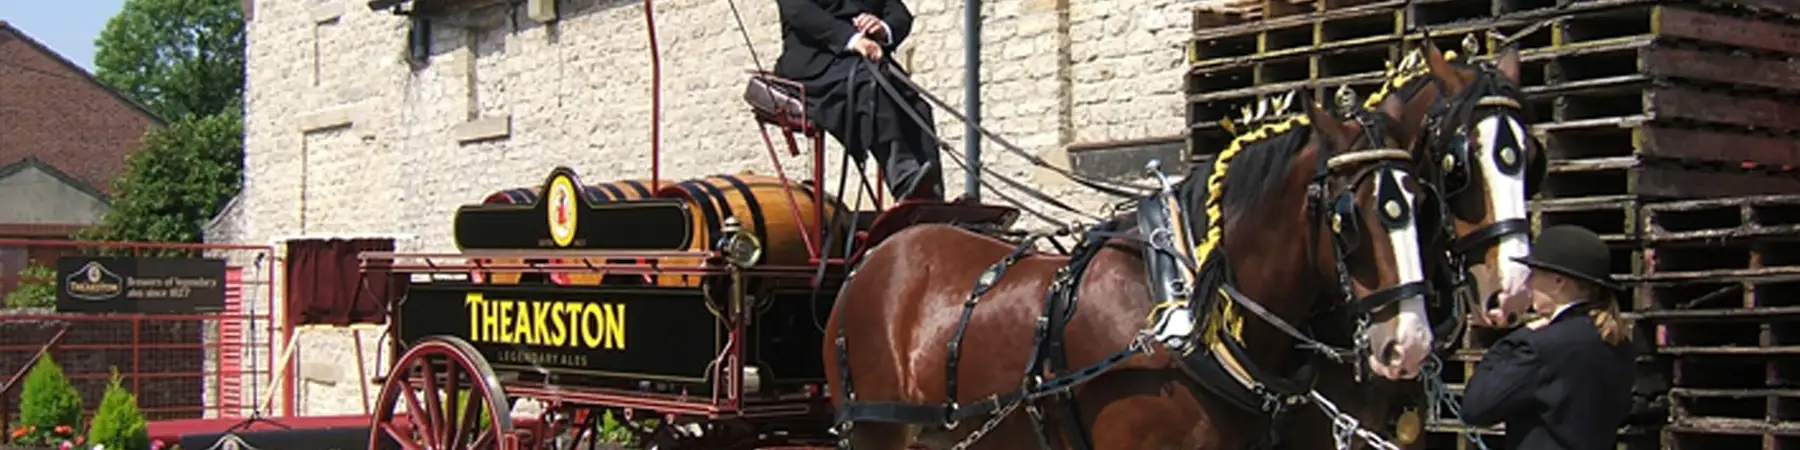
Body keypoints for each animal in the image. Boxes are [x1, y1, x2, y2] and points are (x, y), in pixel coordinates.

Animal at [824, 94, 1432, 446]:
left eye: (1421, 200)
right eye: (1348, 219)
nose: (1412, 344)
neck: (1180, 308)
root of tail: (868, 263)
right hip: (875, 428)